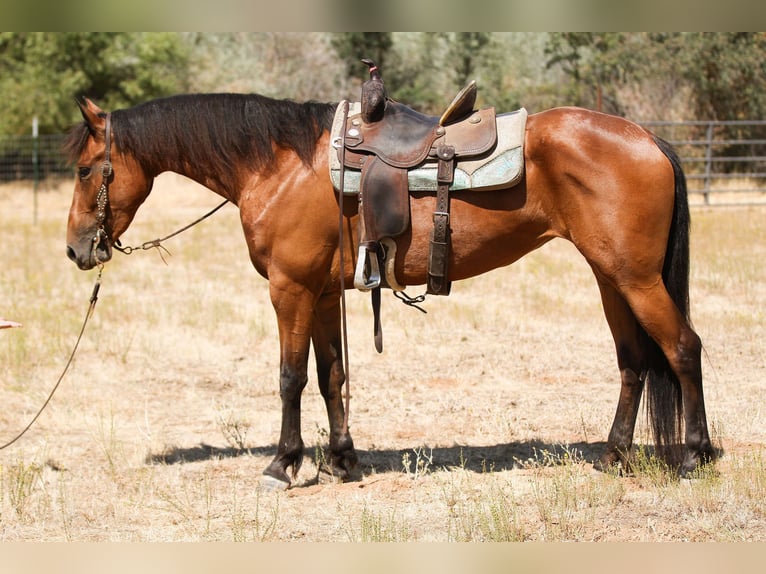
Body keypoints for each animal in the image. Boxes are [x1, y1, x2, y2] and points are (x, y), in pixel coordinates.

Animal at [63, 92, 716, 488]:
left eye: (85, 169)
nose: (75, 250)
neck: (280, 167)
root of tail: (648, 139)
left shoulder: (290, 291)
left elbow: (290, 377)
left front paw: (282, 464)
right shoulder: (323, 294)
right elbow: (331, 376)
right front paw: (342, 460)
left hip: (635, 279)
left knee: (684, 348)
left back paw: (693, 455)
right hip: (610, 278)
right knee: (633, 361)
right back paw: (614, 455)